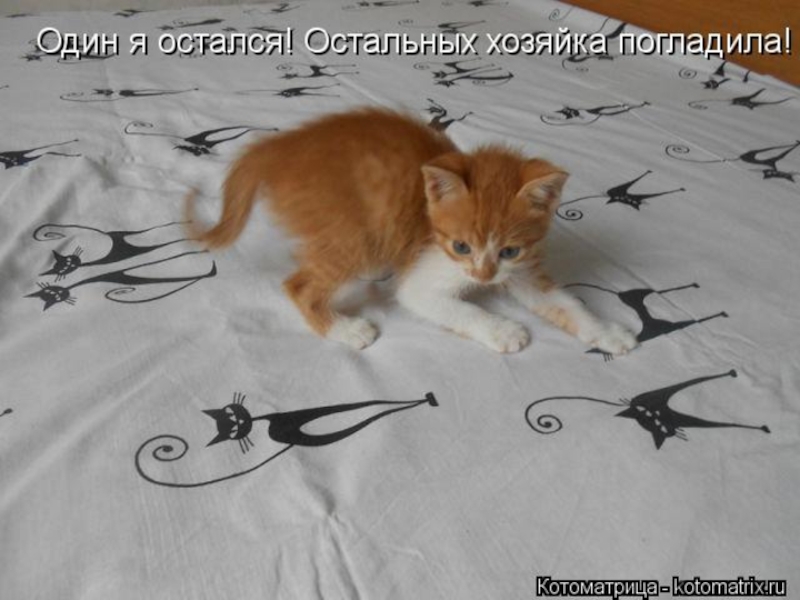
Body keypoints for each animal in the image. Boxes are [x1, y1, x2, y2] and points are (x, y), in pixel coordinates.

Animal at [186, 107, 637, 355]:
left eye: (509, 251)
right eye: (460, 246)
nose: (483, 277)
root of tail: (276, 148)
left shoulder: (522, 268)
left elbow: (564, 302)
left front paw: (607, 332)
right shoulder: (424, 273)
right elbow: (457, 307)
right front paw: (503, 329)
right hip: (358, 232)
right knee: (299, 285)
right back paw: (345, 328)